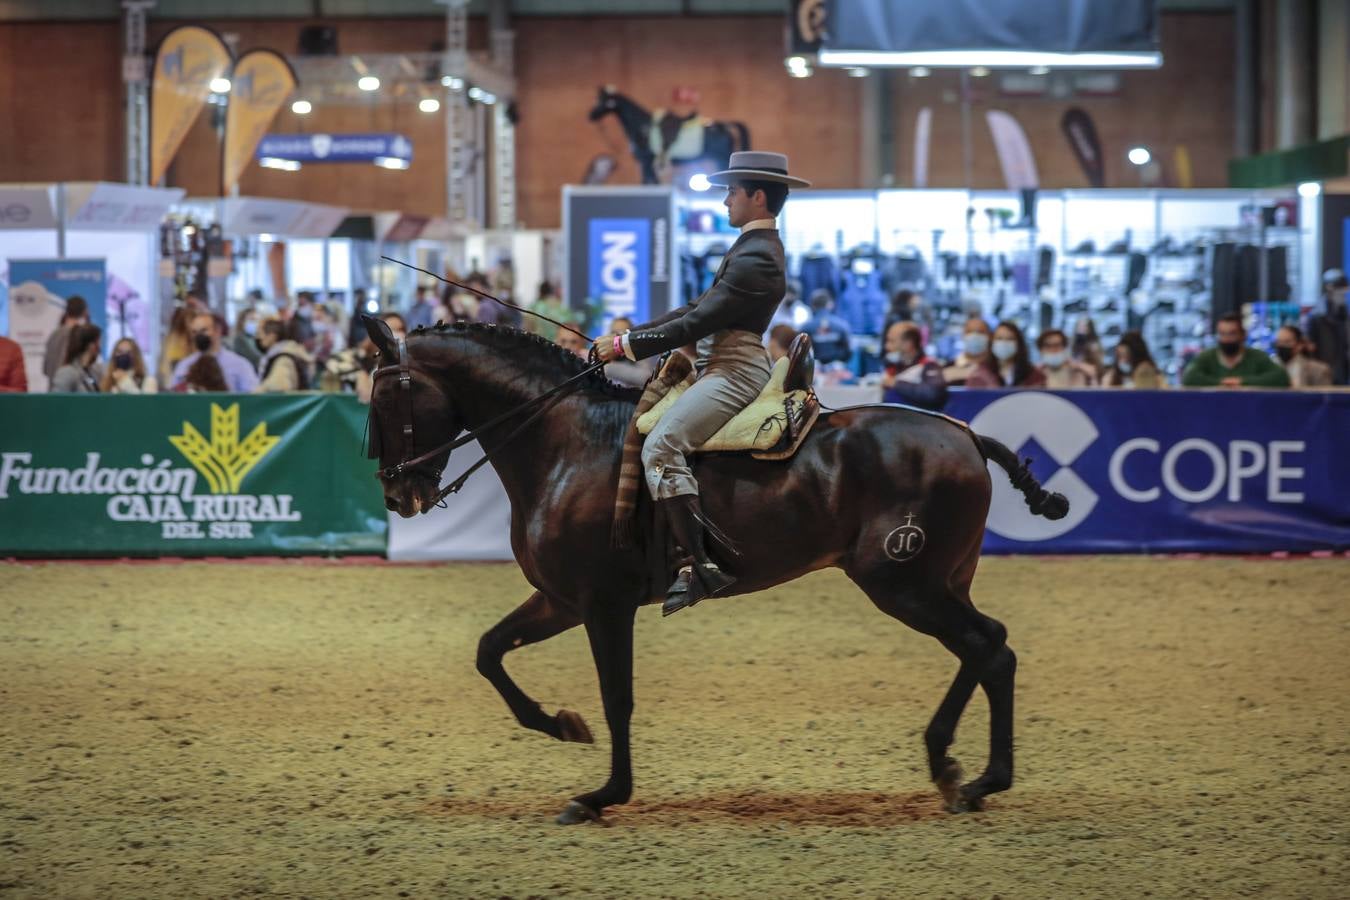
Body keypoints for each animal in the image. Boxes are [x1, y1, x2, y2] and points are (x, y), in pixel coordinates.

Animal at [364, 317, 1069, 825]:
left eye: (383, 397)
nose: (397, 496)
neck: (566, 443)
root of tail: (966, 435)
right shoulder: (561, 600)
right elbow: (490, 652)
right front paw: (560, 725)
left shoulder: (602, 605)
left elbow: (617, 697)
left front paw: (602, 795)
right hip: (935, 582)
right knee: (989, 651)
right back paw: (964, 775)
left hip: (904, 583)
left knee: (984, 646)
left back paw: (963, 771)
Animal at [585, 87, 750, 187]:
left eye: (602, 101)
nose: (590, 116)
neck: (642, 125)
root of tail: (725, 125)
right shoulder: (647, 164)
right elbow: (650, 182)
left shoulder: (646, 161)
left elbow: (647, 182)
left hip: (721, 158)